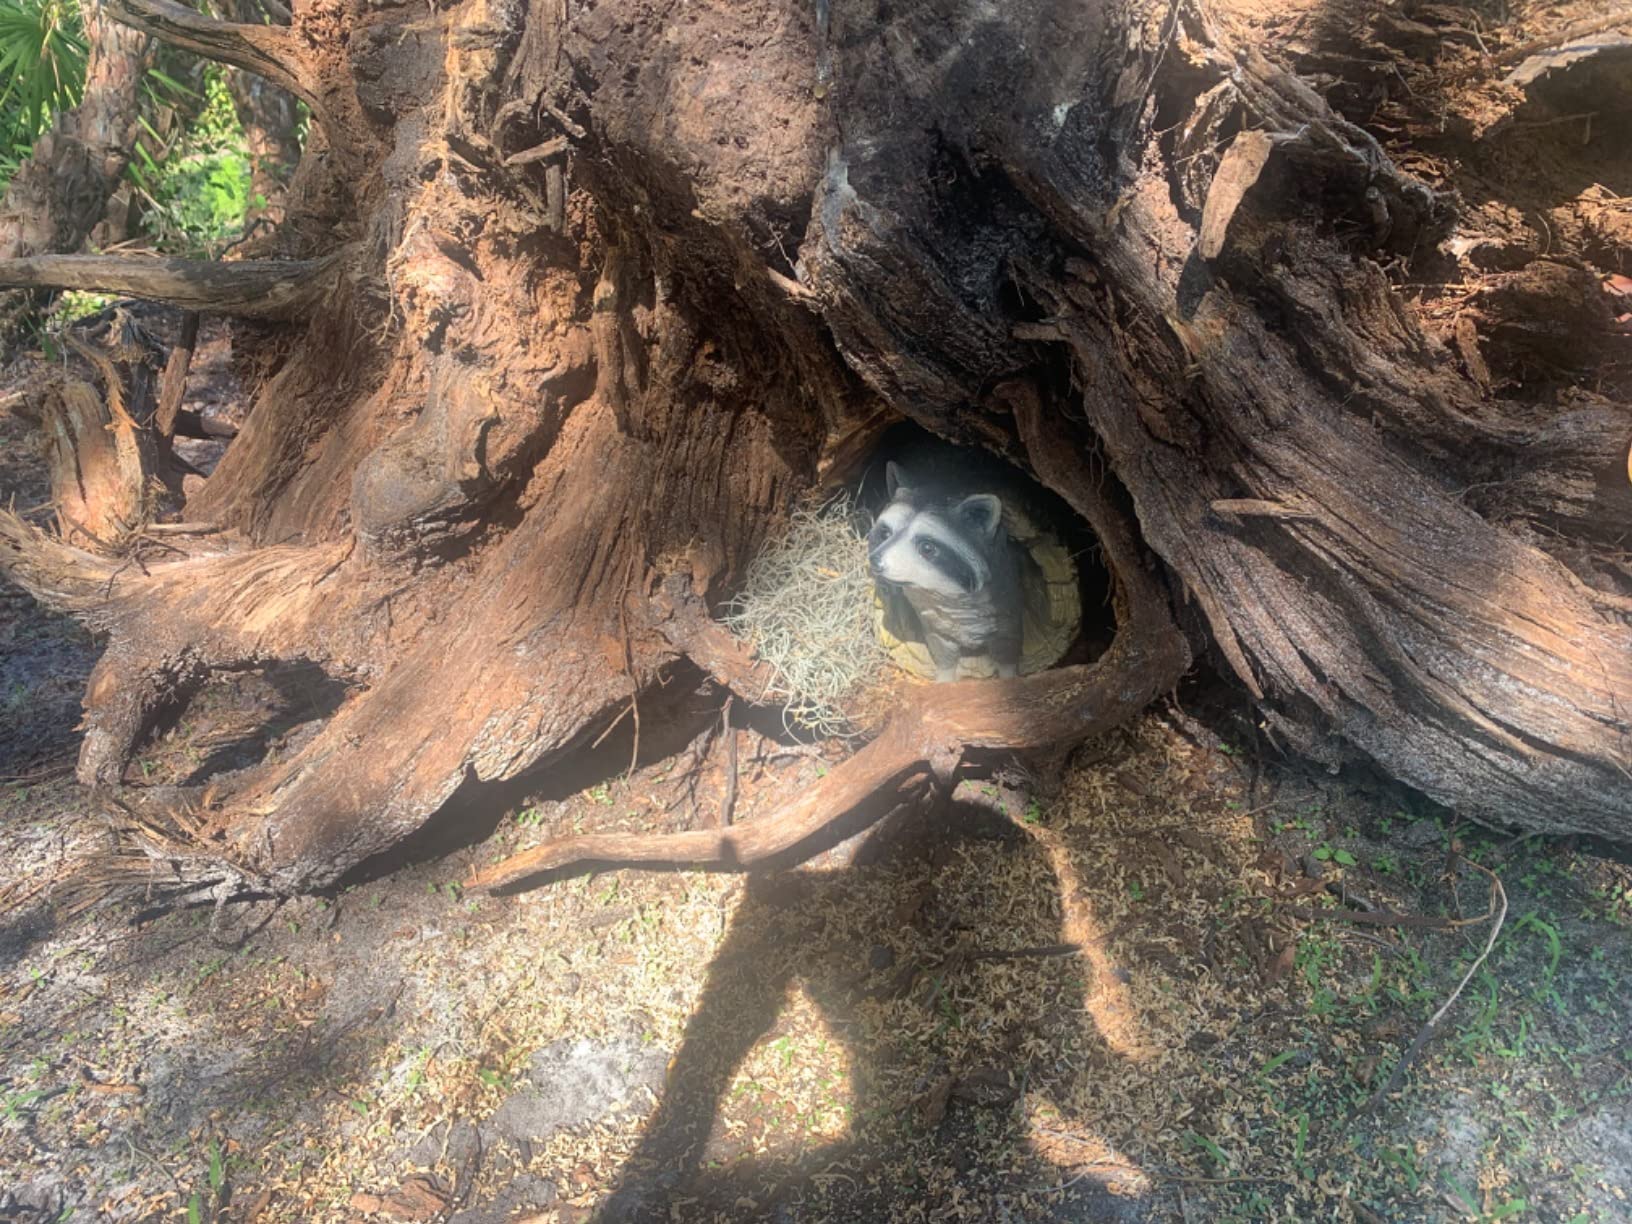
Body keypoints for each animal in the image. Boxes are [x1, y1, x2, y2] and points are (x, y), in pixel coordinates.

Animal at [867, 457, 1032, 682]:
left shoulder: (1007, 603)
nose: (875, 561)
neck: (941, 595)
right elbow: (942, 649)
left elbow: (1007, 646)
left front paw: (1008, 675)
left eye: (927, 548)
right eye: (885, 533)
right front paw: (945, 676)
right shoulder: (934, 623)